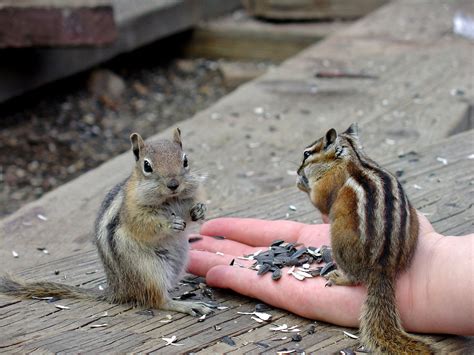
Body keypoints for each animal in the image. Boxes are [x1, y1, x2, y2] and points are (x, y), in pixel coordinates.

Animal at [0, 130, 211, 318]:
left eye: (185, 160)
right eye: (147, 166)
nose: (173, 184)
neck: (170, 199)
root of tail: (118, 289)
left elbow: (191, 210)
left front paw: (199, 210)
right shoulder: (133, 212)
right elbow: (145, 226)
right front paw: (170, 224)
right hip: (149, 270)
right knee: (157, 300)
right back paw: (187, 305)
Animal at [296, 124, 434, 354]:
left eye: (307, 154)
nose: (298, 171)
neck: (354, 157)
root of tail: (383, 266)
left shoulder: (328, 184)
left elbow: (319, 200)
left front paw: (302, 183)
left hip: (340, 241)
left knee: (354, 278)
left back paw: (338, 277)